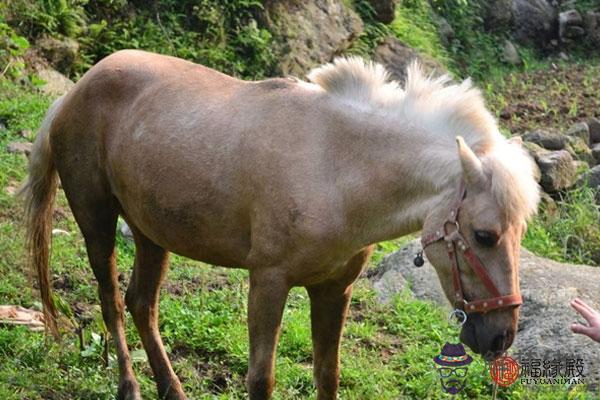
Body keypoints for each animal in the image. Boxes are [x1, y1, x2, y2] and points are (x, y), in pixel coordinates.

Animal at [21, 50, 540, 400]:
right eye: (484, 236)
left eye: (518, 235)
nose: (501, 336)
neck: (335, 166)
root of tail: (75, 91)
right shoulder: (268, 282)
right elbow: (261, 378)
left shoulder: (334, 290)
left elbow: (327, 375)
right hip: (97, 221)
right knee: (111, 302)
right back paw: (129, 386)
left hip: (152, 234)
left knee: (141, 303)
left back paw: (172, 387)